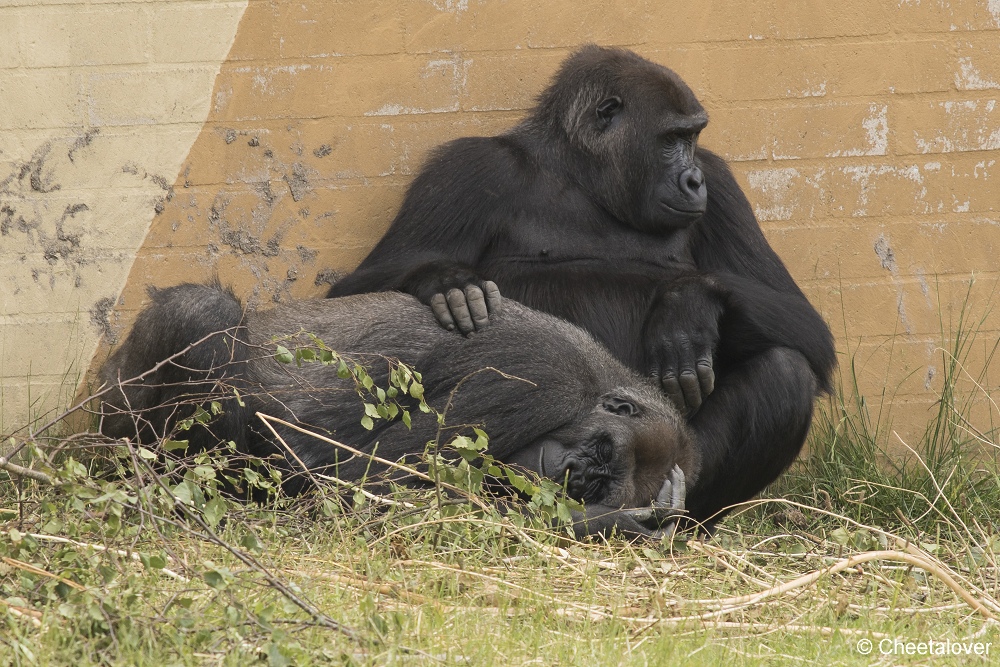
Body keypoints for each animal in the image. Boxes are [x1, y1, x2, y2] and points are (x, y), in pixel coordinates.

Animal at [99, 284, 696, 540]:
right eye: (602, 451)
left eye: (601, 482)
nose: (575, 476)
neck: (597, 383)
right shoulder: (535, 377)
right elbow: (371, 486)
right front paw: (611, 525)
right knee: (206, 311)